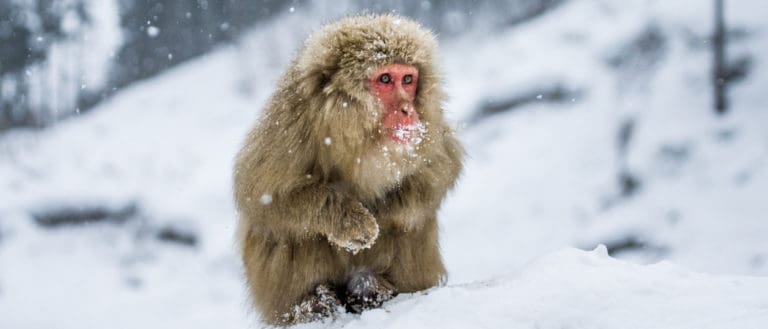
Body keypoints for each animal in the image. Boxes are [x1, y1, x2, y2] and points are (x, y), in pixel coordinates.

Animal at [232, 14, 462, 322]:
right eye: (385, 79)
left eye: (408, 79)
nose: (407, 110)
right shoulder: (292, 118)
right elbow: (260, 192)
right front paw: (349, 220)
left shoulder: (428, 126)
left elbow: (443, 162)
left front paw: (386, 207)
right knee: (285, 231)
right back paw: (313, 303)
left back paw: (373, 288)